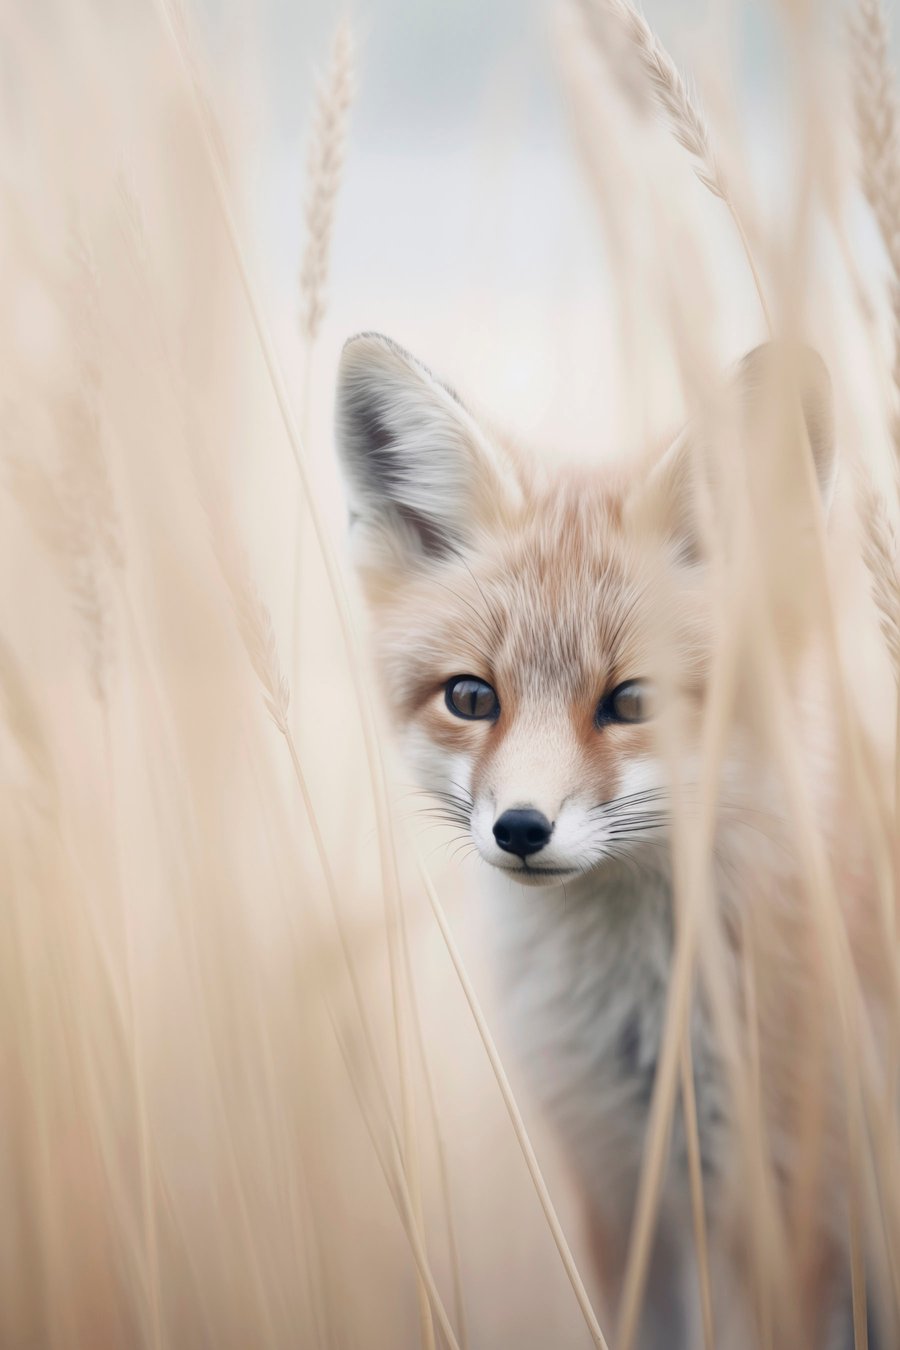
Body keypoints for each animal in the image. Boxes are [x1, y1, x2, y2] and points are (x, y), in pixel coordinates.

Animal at [334, 331, 883, 1349]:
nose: (519, 827)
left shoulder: (802, 1212)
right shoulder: (621, 1190)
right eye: (471, 697)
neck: (643, 1021)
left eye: (634, 702)